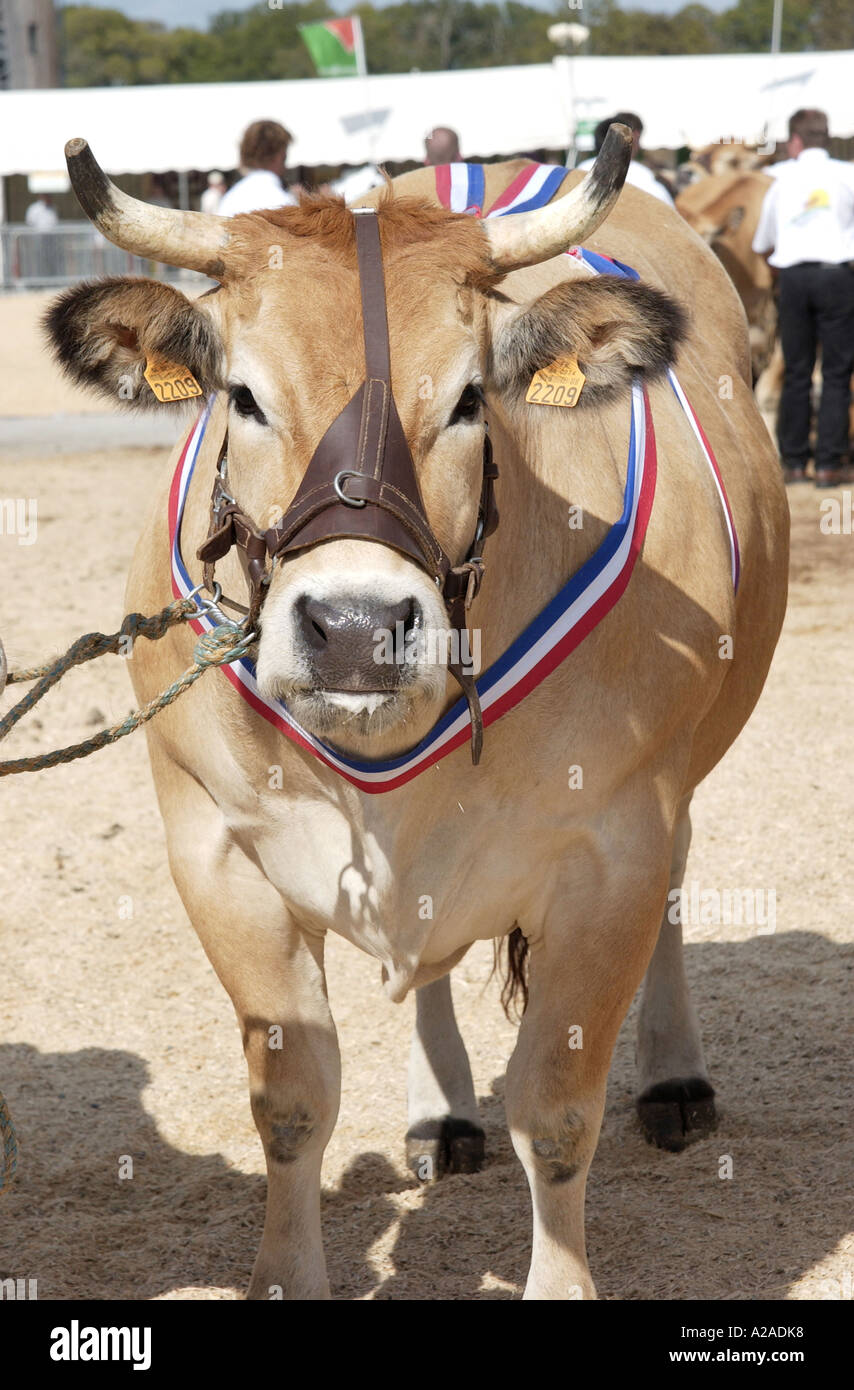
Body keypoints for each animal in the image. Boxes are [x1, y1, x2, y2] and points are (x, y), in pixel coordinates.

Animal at [41, 135, 790, 1295]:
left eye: (472, 399)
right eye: (242, 396)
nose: (354, 627)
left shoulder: (615, 844)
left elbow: (556, 1113)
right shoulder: (211, 846)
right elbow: (292, 1100)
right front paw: (289, 1273)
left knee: (674, 885)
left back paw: (674, 1078)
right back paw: (441, 1111)